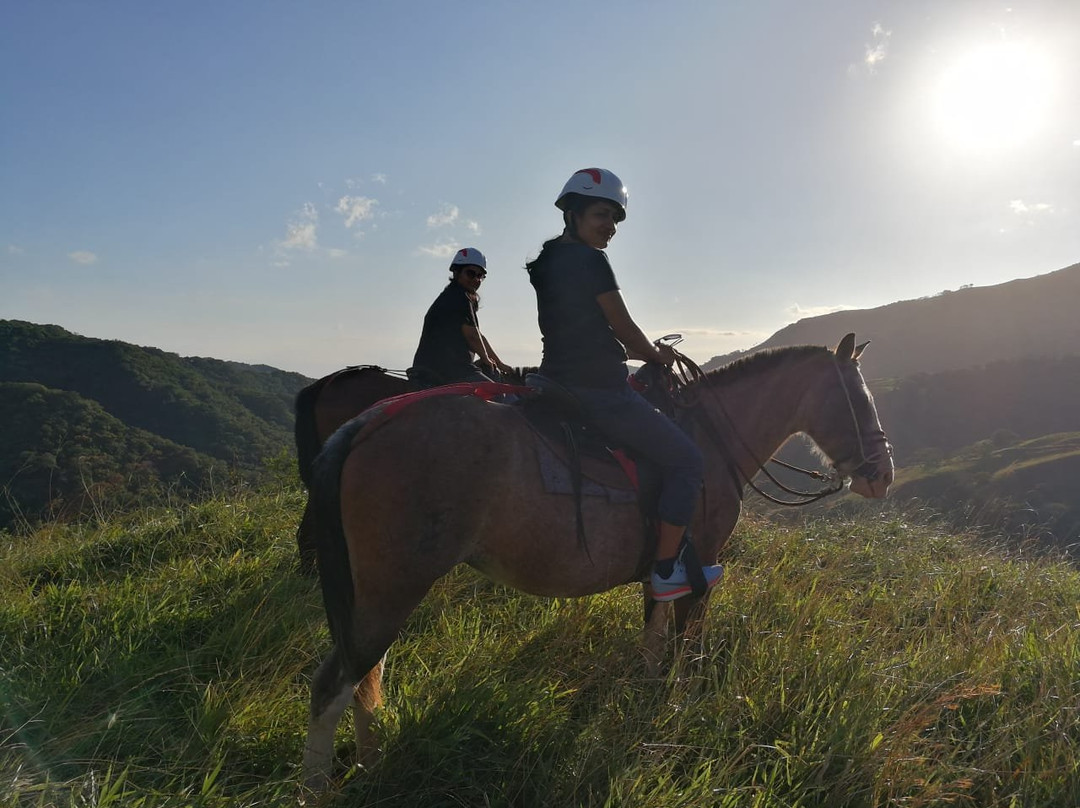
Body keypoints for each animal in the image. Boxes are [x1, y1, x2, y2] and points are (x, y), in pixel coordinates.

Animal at [298, 332, 894, 790]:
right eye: (860, 399)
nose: (883, 474)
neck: (709, 440)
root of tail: (365, 425)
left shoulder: (663, 571)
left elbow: (652, 641)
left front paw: (644, 707)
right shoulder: (701, 566)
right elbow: (687, 651)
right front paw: (679, 713)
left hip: (378, 591)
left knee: (364, 676)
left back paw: (371, 767)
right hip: (392, 588)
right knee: (334, 686)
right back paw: (316, 788)